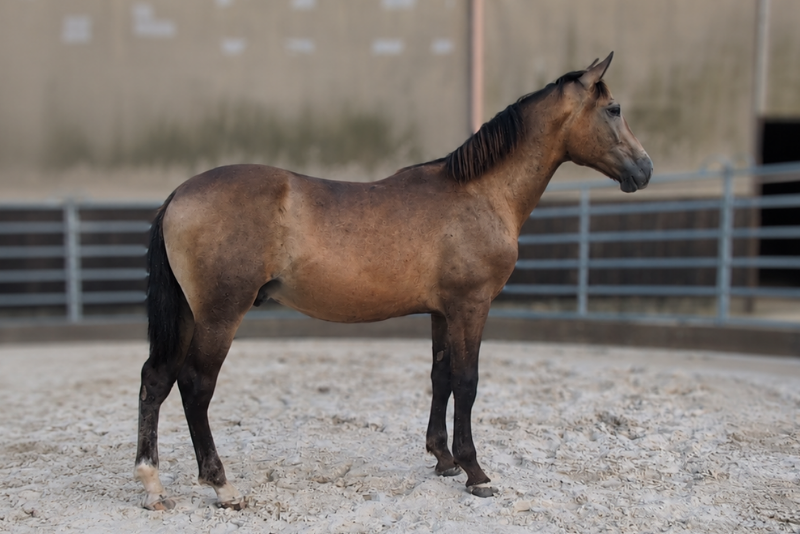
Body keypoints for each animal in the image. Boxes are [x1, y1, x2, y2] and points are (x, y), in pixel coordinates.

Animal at [135, 52, 652, 510]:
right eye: (614, 109)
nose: (645, 169)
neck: (481, 193)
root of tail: (180, 193)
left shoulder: (442, 311)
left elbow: (441, 377)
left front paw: (443, 460)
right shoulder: (471, 306)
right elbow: (467, 382)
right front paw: (475, 473)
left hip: (188, 315)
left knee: (156, 379)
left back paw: (152, 485)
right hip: (220, 315)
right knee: (195, 385)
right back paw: (221, 486)